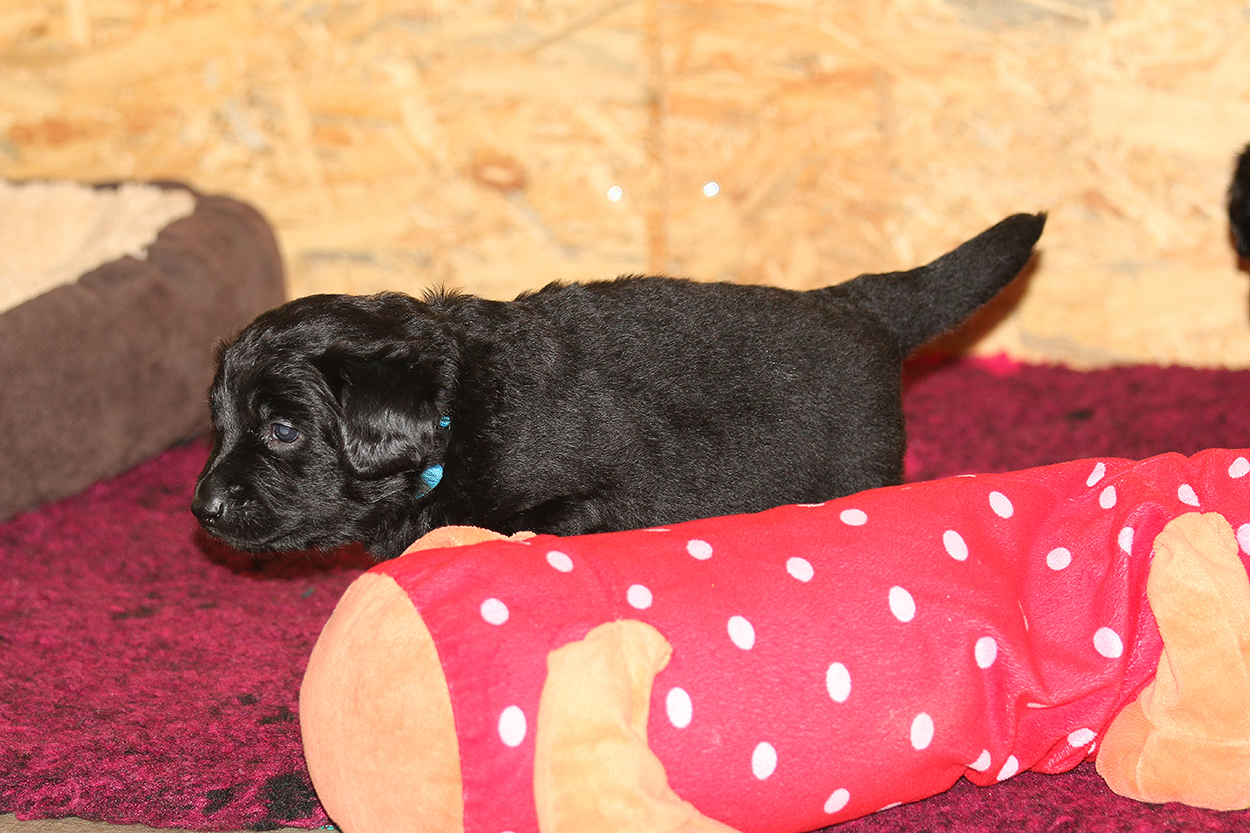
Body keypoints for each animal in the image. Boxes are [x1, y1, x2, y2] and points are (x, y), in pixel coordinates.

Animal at [192, 212, 1045, 560]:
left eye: (282, 430)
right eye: (220, 422)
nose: (200, 505)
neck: (454, 415)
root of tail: (859, 305)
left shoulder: (583, 501)